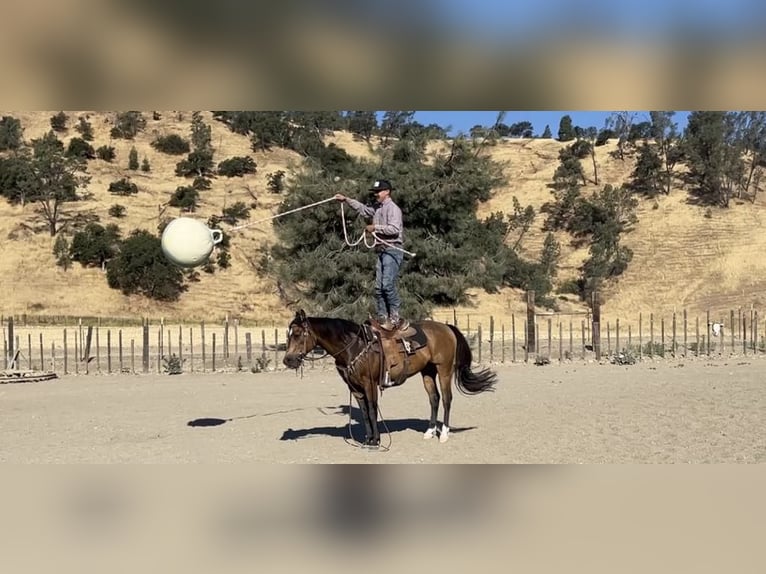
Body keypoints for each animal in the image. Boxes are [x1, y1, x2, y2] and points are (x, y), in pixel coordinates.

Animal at [282, 310, 498, 450]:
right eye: (289, 334)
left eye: (298, 334)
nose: (288, 360)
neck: (354, 344)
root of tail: (446, 327)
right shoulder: (355, 387)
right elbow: (364, 412)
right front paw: (368, 439)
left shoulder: (369, 383)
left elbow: (372, 409)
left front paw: (376, 441)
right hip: (427, 371)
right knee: (434, 399)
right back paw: (429, 432)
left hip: (444, 370)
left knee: (446, 399)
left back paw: (443, 434)